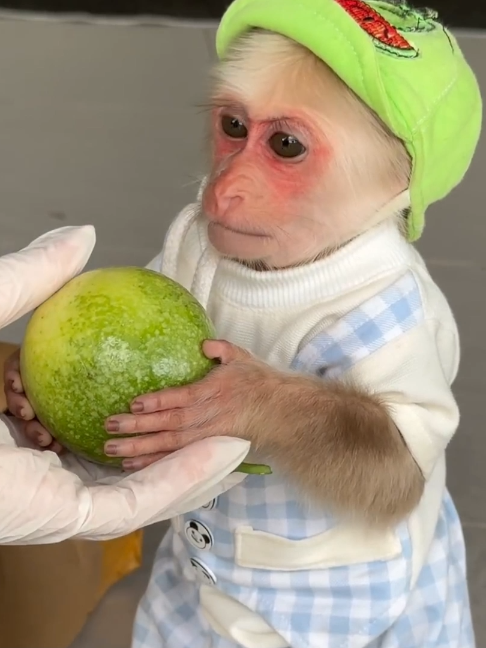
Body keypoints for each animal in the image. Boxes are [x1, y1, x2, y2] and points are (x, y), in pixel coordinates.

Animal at [4, 2, 482, 647]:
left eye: (285, 145)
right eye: (233, 127)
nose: (225, 189)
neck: (287, 270)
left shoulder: (396, 319)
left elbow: (395, 467)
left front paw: (244, 399)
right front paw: (19, 396)